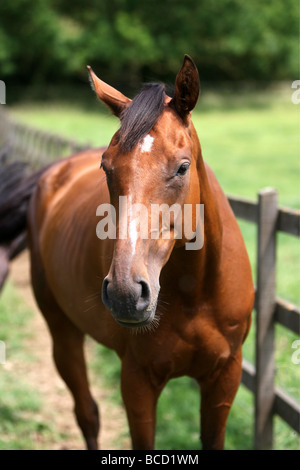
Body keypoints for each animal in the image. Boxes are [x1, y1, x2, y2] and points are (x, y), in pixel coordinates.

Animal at [0, 57, 253, 450]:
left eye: (182, 167)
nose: (125, 293)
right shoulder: (138, 382)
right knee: (87, 414)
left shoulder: (225, 378)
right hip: (62, 332)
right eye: (107, 167)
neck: (195, 293)